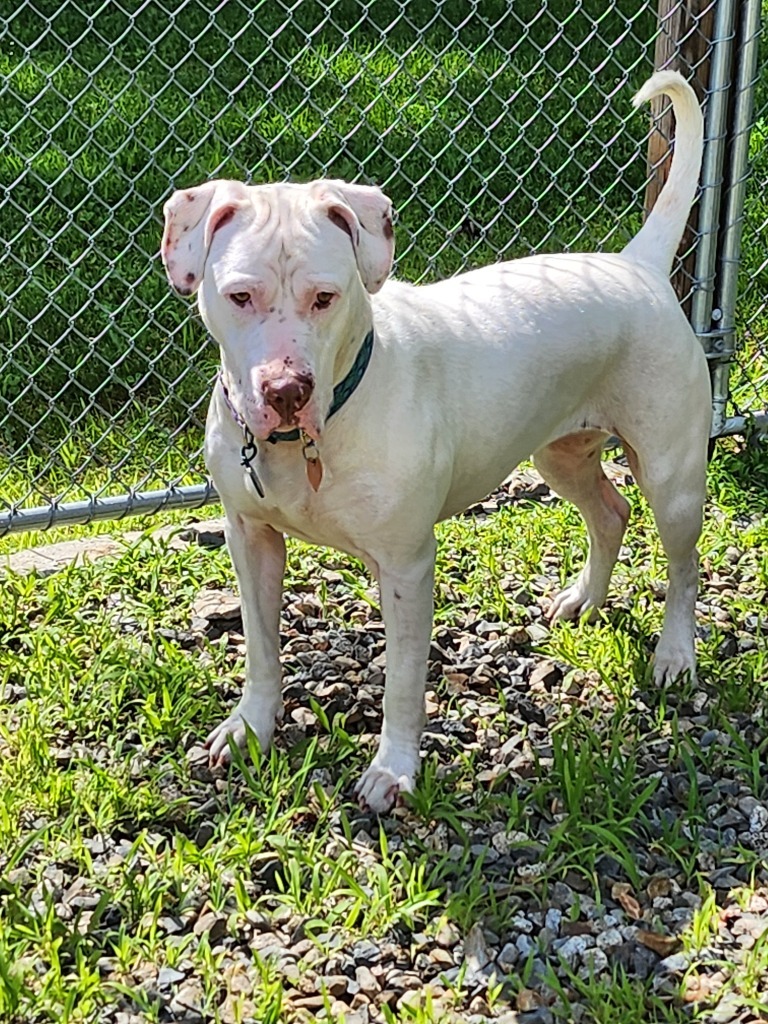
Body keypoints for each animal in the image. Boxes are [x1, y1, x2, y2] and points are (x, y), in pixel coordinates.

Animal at [160, 70, 708, 815]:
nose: (286, 389)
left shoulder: (406, 567)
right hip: (559, 454)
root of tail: (640, 266)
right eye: (239, 296)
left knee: (682, 567)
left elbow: (401, 682)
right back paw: (583, 600)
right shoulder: (251, 538)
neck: (312, 435)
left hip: (673, 477)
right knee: (610, 512)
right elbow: (262, 647)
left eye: (326, 298)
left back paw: (675, 654)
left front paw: (393, 770)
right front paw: (251, 726)